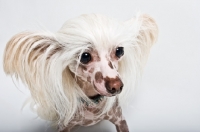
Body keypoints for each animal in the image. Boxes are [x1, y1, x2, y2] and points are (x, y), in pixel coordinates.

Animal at [2, 12, 158, 131]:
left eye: (119, 51)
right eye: (85, 56)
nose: (116, 86)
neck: (92, 104)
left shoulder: (120, 120)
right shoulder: (64, 126)